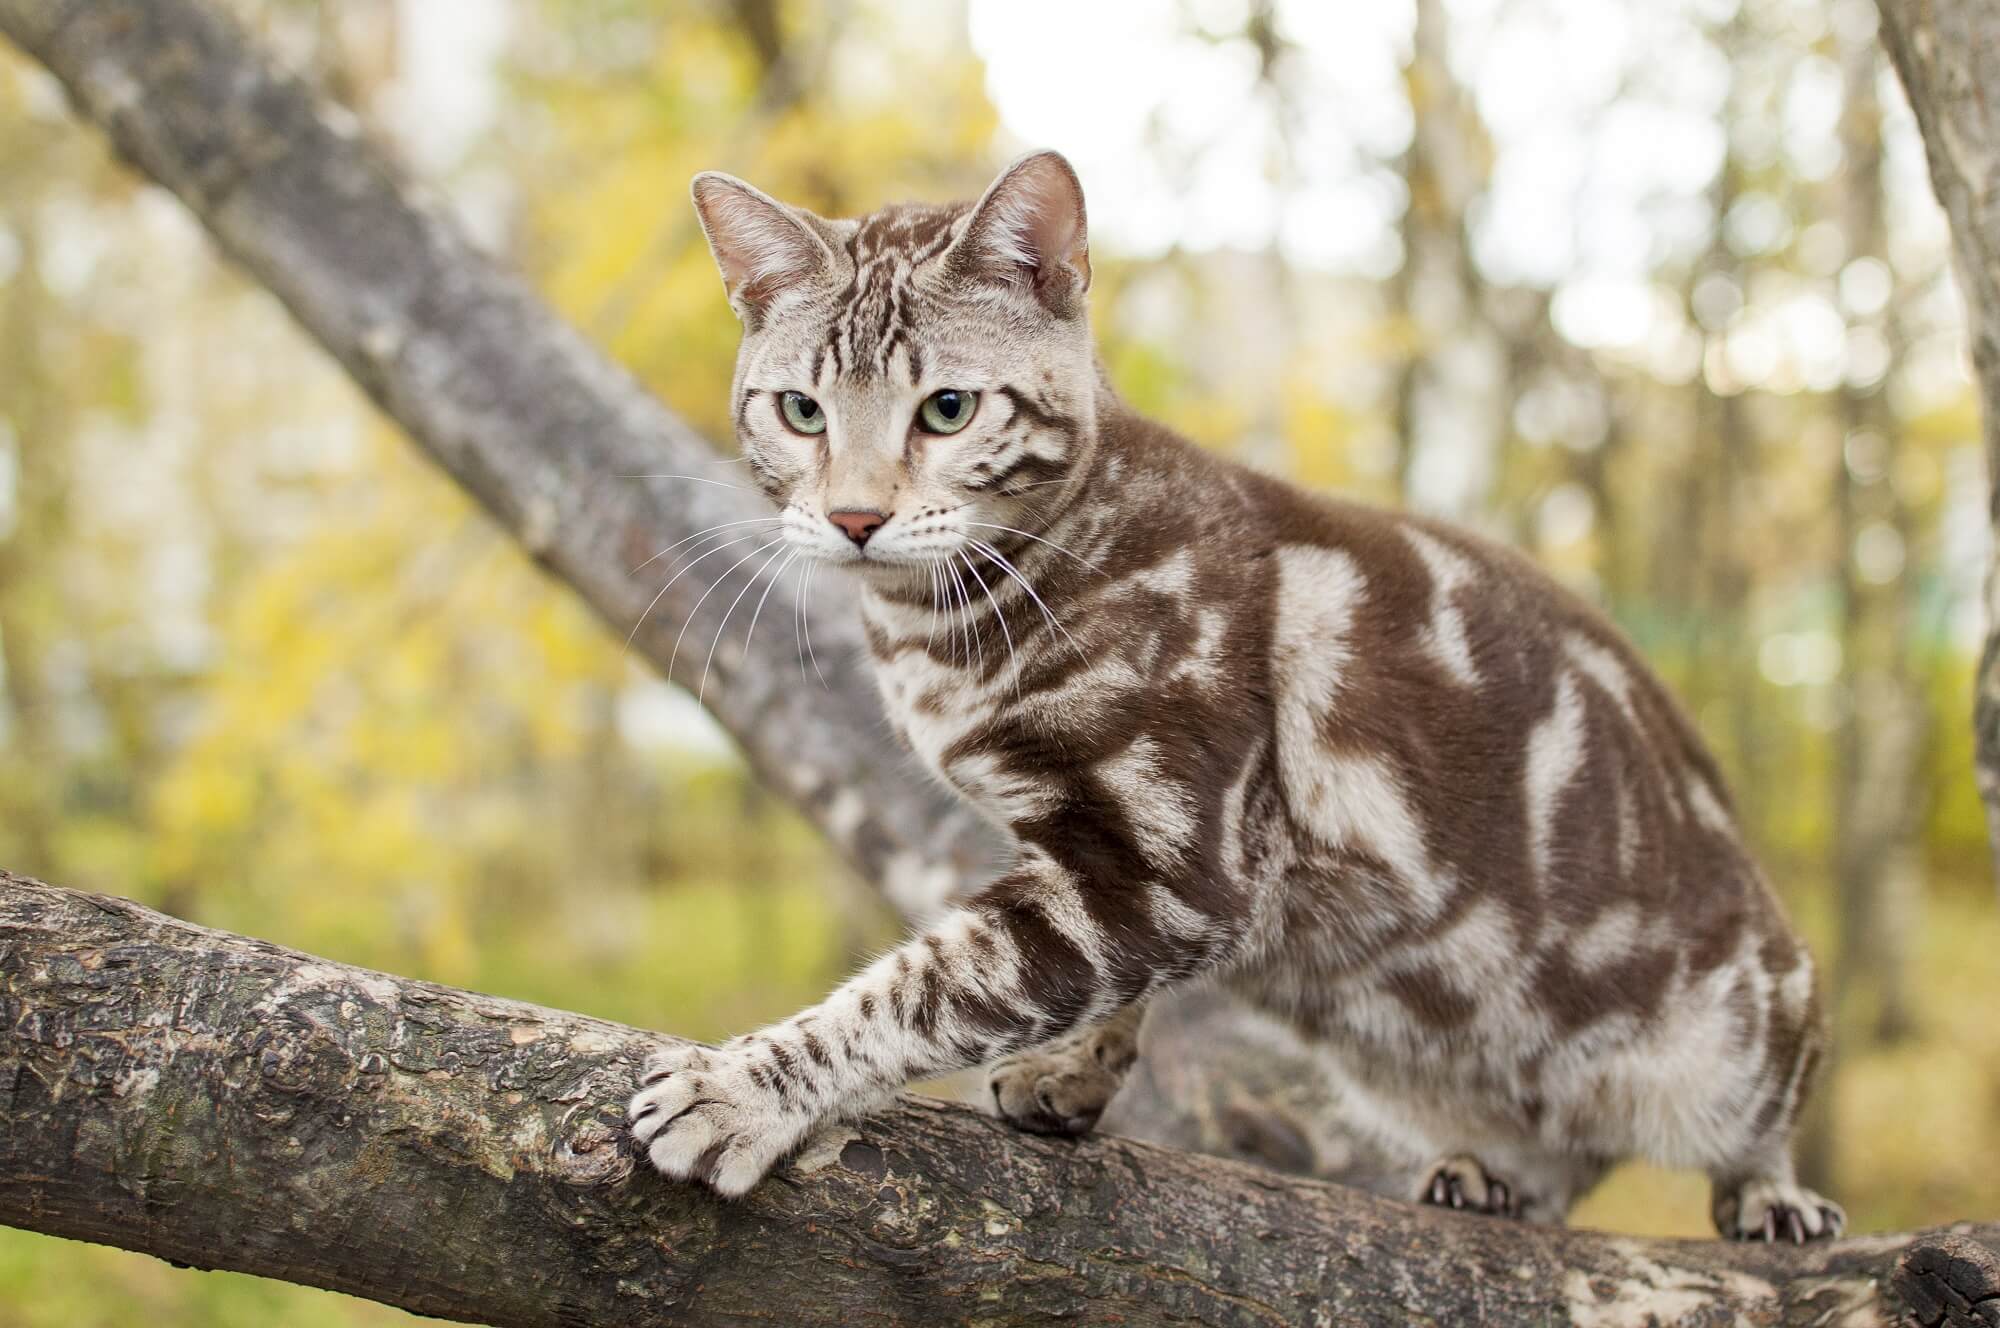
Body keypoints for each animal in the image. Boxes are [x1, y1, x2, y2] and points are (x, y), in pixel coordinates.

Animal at [624, 150, 1840, 1240]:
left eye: (949, 409)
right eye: (800, 411)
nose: (855, 517)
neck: (942, 631)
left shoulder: (1165, 856)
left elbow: (926, 984)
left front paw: (745, 1087)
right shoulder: (1120, 873)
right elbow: (1094, 991)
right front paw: (1072, 1070)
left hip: (1748, 1020)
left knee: (1762, 1110)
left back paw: (1770, 1197)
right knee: (1564, 1159)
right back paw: (1492, 1172)